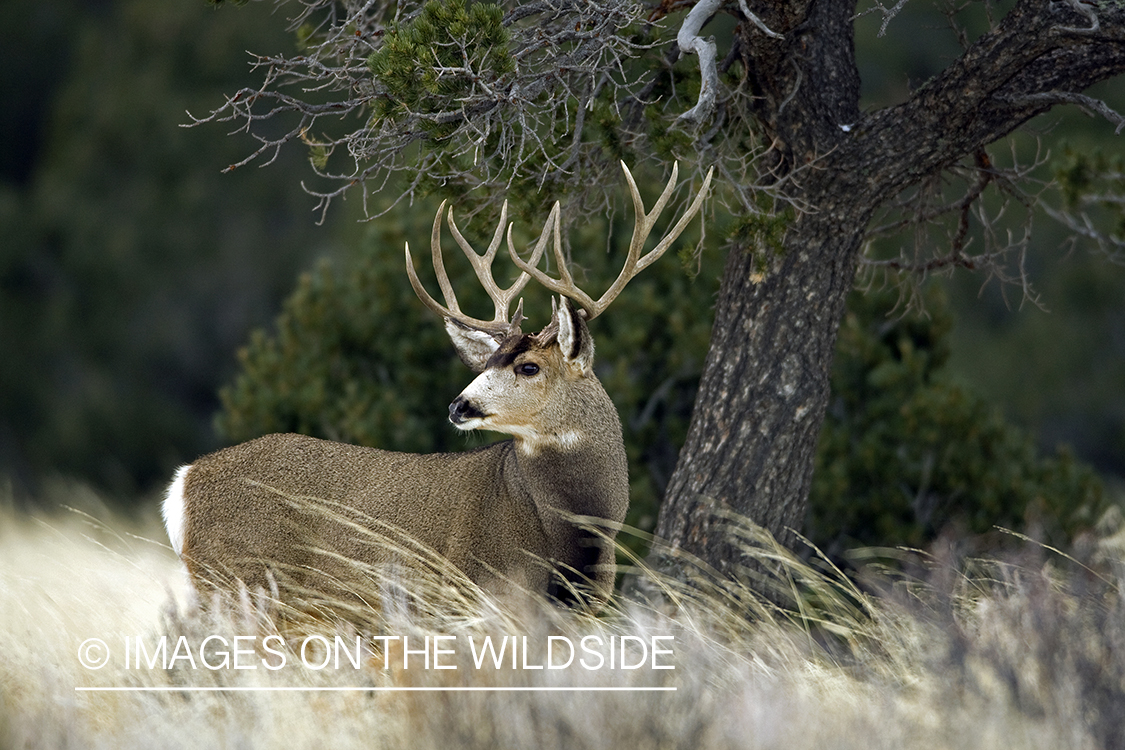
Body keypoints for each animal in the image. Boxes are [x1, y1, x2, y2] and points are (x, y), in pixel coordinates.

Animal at [162, 162, 712, 612]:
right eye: (488, 359)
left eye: (528, 367)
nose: (458, 405)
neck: (573, 535)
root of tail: (183, 482)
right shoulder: (477, 597)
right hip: (243, 583)